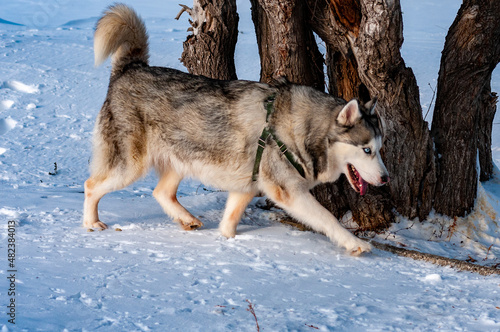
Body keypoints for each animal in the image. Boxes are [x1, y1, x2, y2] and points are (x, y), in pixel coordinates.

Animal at [85, 3, 390, 254]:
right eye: (366, 150)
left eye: (379, 149)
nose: (386, 179)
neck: (301, 127)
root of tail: (131, 68)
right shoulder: (288, 191)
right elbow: (328, 218)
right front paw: (355, 244)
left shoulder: (246, 186)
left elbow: (229, 220)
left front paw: (228, 242)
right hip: (130, 166)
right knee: (91, 186)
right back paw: (91, 224)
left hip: (180, 160)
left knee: (161, 192)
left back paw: (187, 220)